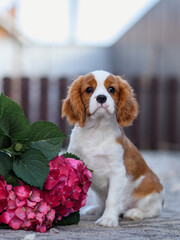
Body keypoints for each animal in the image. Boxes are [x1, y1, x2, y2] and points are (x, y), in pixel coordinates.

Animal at [61, 70, 163, 228]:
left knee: (153, 210)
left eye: (111, 89)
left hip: (148, 190)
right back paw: (96, 209)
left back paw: (134, 213)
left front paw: (108, 219)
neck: (97, 130)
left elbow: (112, 199)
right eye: (89, 89)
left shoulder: (117, 172)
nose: (101, 98)